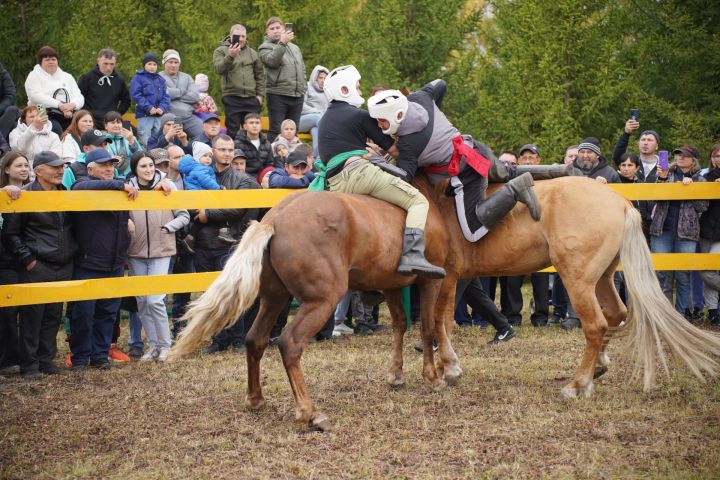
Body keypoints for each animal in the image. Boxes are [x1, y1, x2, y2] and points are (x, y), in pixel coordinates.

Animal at [170, 176, 720, 432]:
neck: (423, 202)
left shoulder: (435, 281)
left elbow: (427, 327)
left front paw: (435, 372)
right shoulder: (418, 283)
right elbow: (419, 327)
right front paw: (425, 372)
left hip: (584, 277)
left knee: (598, 323)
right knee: (269, 341)